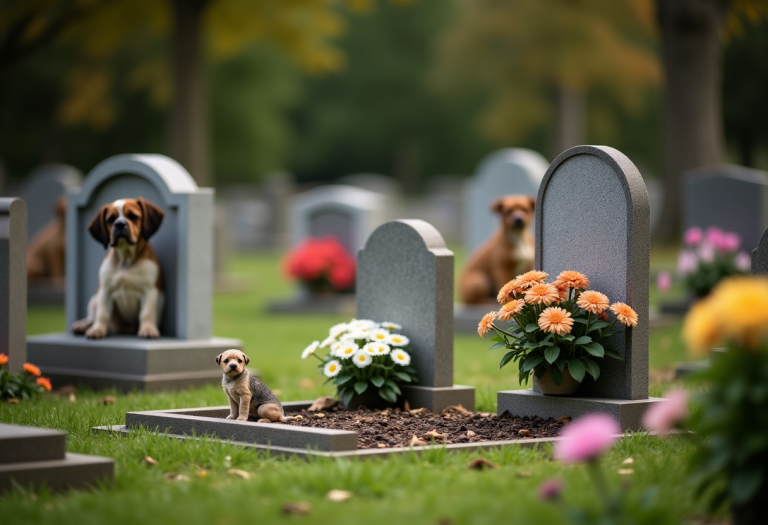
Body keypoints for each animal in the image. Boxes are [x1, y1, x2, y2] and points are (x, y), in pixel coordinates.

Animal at [72, 198, 165, 340]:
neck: (125, 260)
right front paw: (97, 329)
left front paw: (148, 329)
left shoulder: (149, 290)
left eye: (133, 216)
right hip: (94, 299)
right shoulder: (105, 290)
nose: (120, 224)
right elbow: (102, 314)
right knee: (92, 317)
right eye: (110, 219)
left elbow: (146, 313)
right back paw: (83, 325)